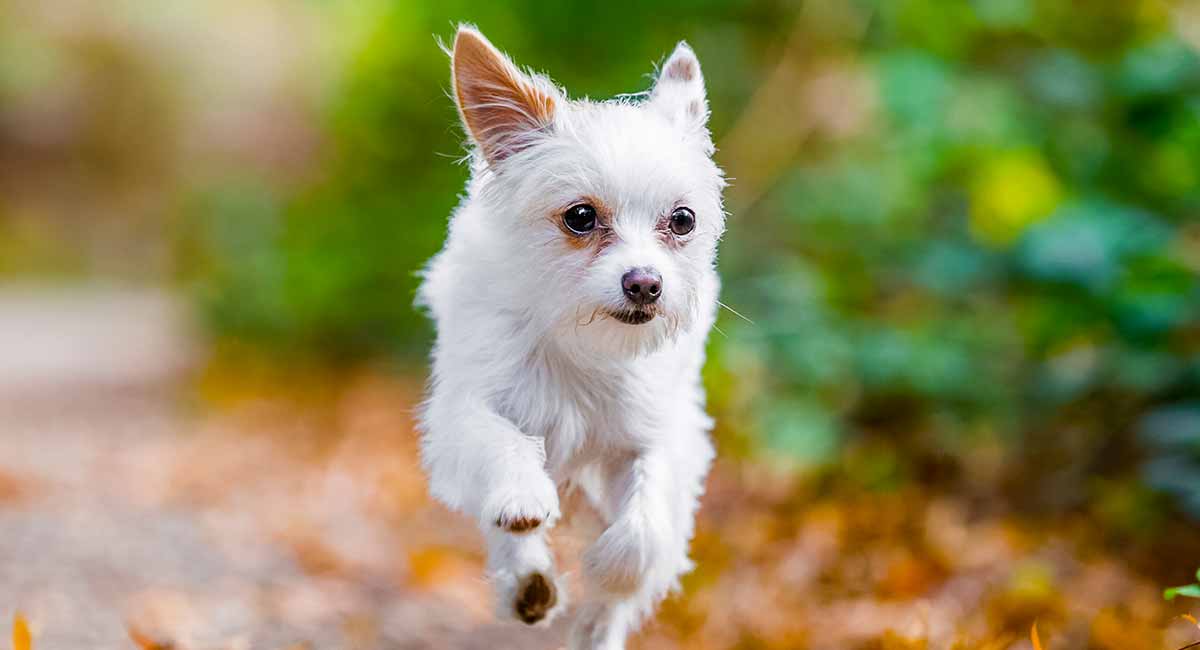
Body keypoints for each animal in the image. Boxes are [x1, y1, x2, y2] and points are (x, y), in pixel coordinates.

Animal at [417, 25, 724, 650]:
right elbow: (500, 444)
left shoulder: (662, 433)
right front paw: (521, 495)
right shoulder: (464, 413)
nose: (645, 283)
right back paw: (526, 580)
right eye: (580, 217)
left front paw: (611, 568)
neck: (579, 341)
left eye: (683, 220)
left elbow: (644, 532)